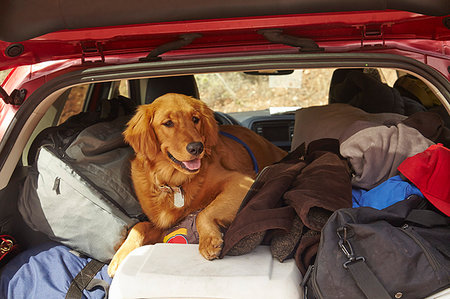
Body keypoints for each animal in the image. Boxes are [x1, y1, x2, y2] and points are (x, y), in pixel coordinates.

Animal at [107, 94, 286, 278]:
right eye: (168, 123)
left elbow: (203, 213)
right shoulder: (162, 225)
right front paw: (119, 257)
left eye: (195, 119)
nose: (197, 147)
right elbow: (139, 226)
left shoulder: (240, 182)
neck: (174, 183)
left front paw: (208, 240)